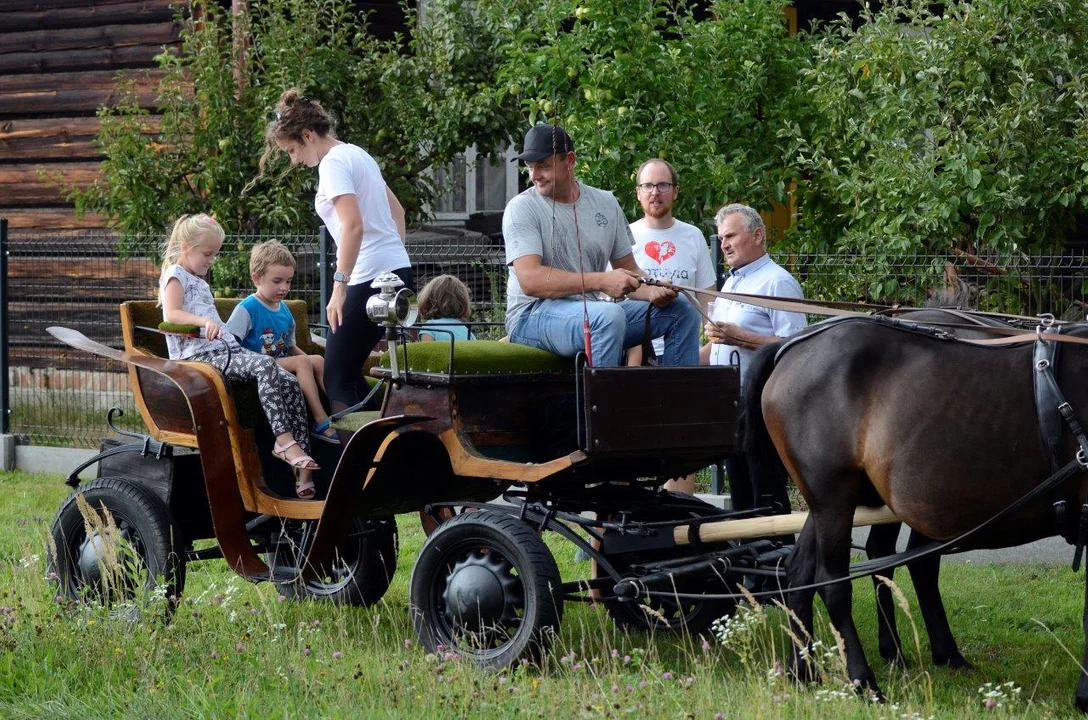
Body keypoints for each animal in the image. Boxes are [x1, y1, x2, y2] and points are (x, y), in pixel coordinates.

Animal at [744, 315, 1083, 709]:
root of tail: (790, 348)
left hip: (833, 501)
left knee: (802, 570)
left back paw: (804, 671)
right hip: (834, 498)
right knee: (834, 583)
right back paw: (864, 681)